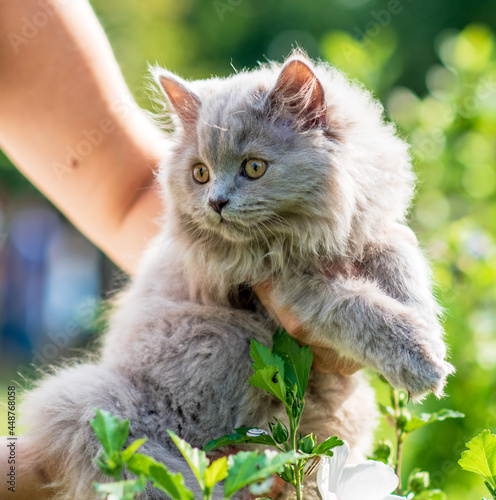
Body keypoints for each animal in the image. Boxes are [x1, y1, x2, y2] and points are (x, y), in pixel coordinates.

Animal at [20, 51, 454, 500]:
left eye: (254, 167)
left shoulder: (375, 233)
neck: (310, 235)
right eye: (200, 173)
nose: (216, 201)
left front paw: (426, 336)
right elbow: (356, 305)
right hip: (226, 336)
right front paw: (422, 362)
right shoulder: (291, 291)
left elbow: (404, 266)